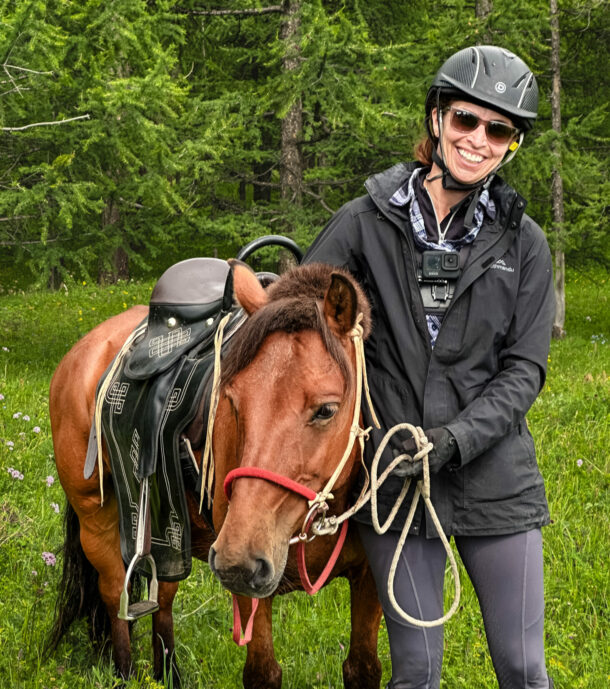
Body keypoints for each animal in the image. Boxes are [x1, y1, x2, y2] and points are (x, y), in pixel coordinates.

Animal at [48, 260, 383, 689]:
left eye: (326, 409)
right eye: (233, 403)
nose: (239, 560)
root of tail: (83, 350)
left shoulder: (370, 580)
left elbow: (362, 668)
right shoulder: (247, 583)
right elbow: (262, 672)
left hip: (169, 536)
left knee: (163, 599)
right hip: (99, 526)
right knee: (114, 597)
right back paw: (124, 672)